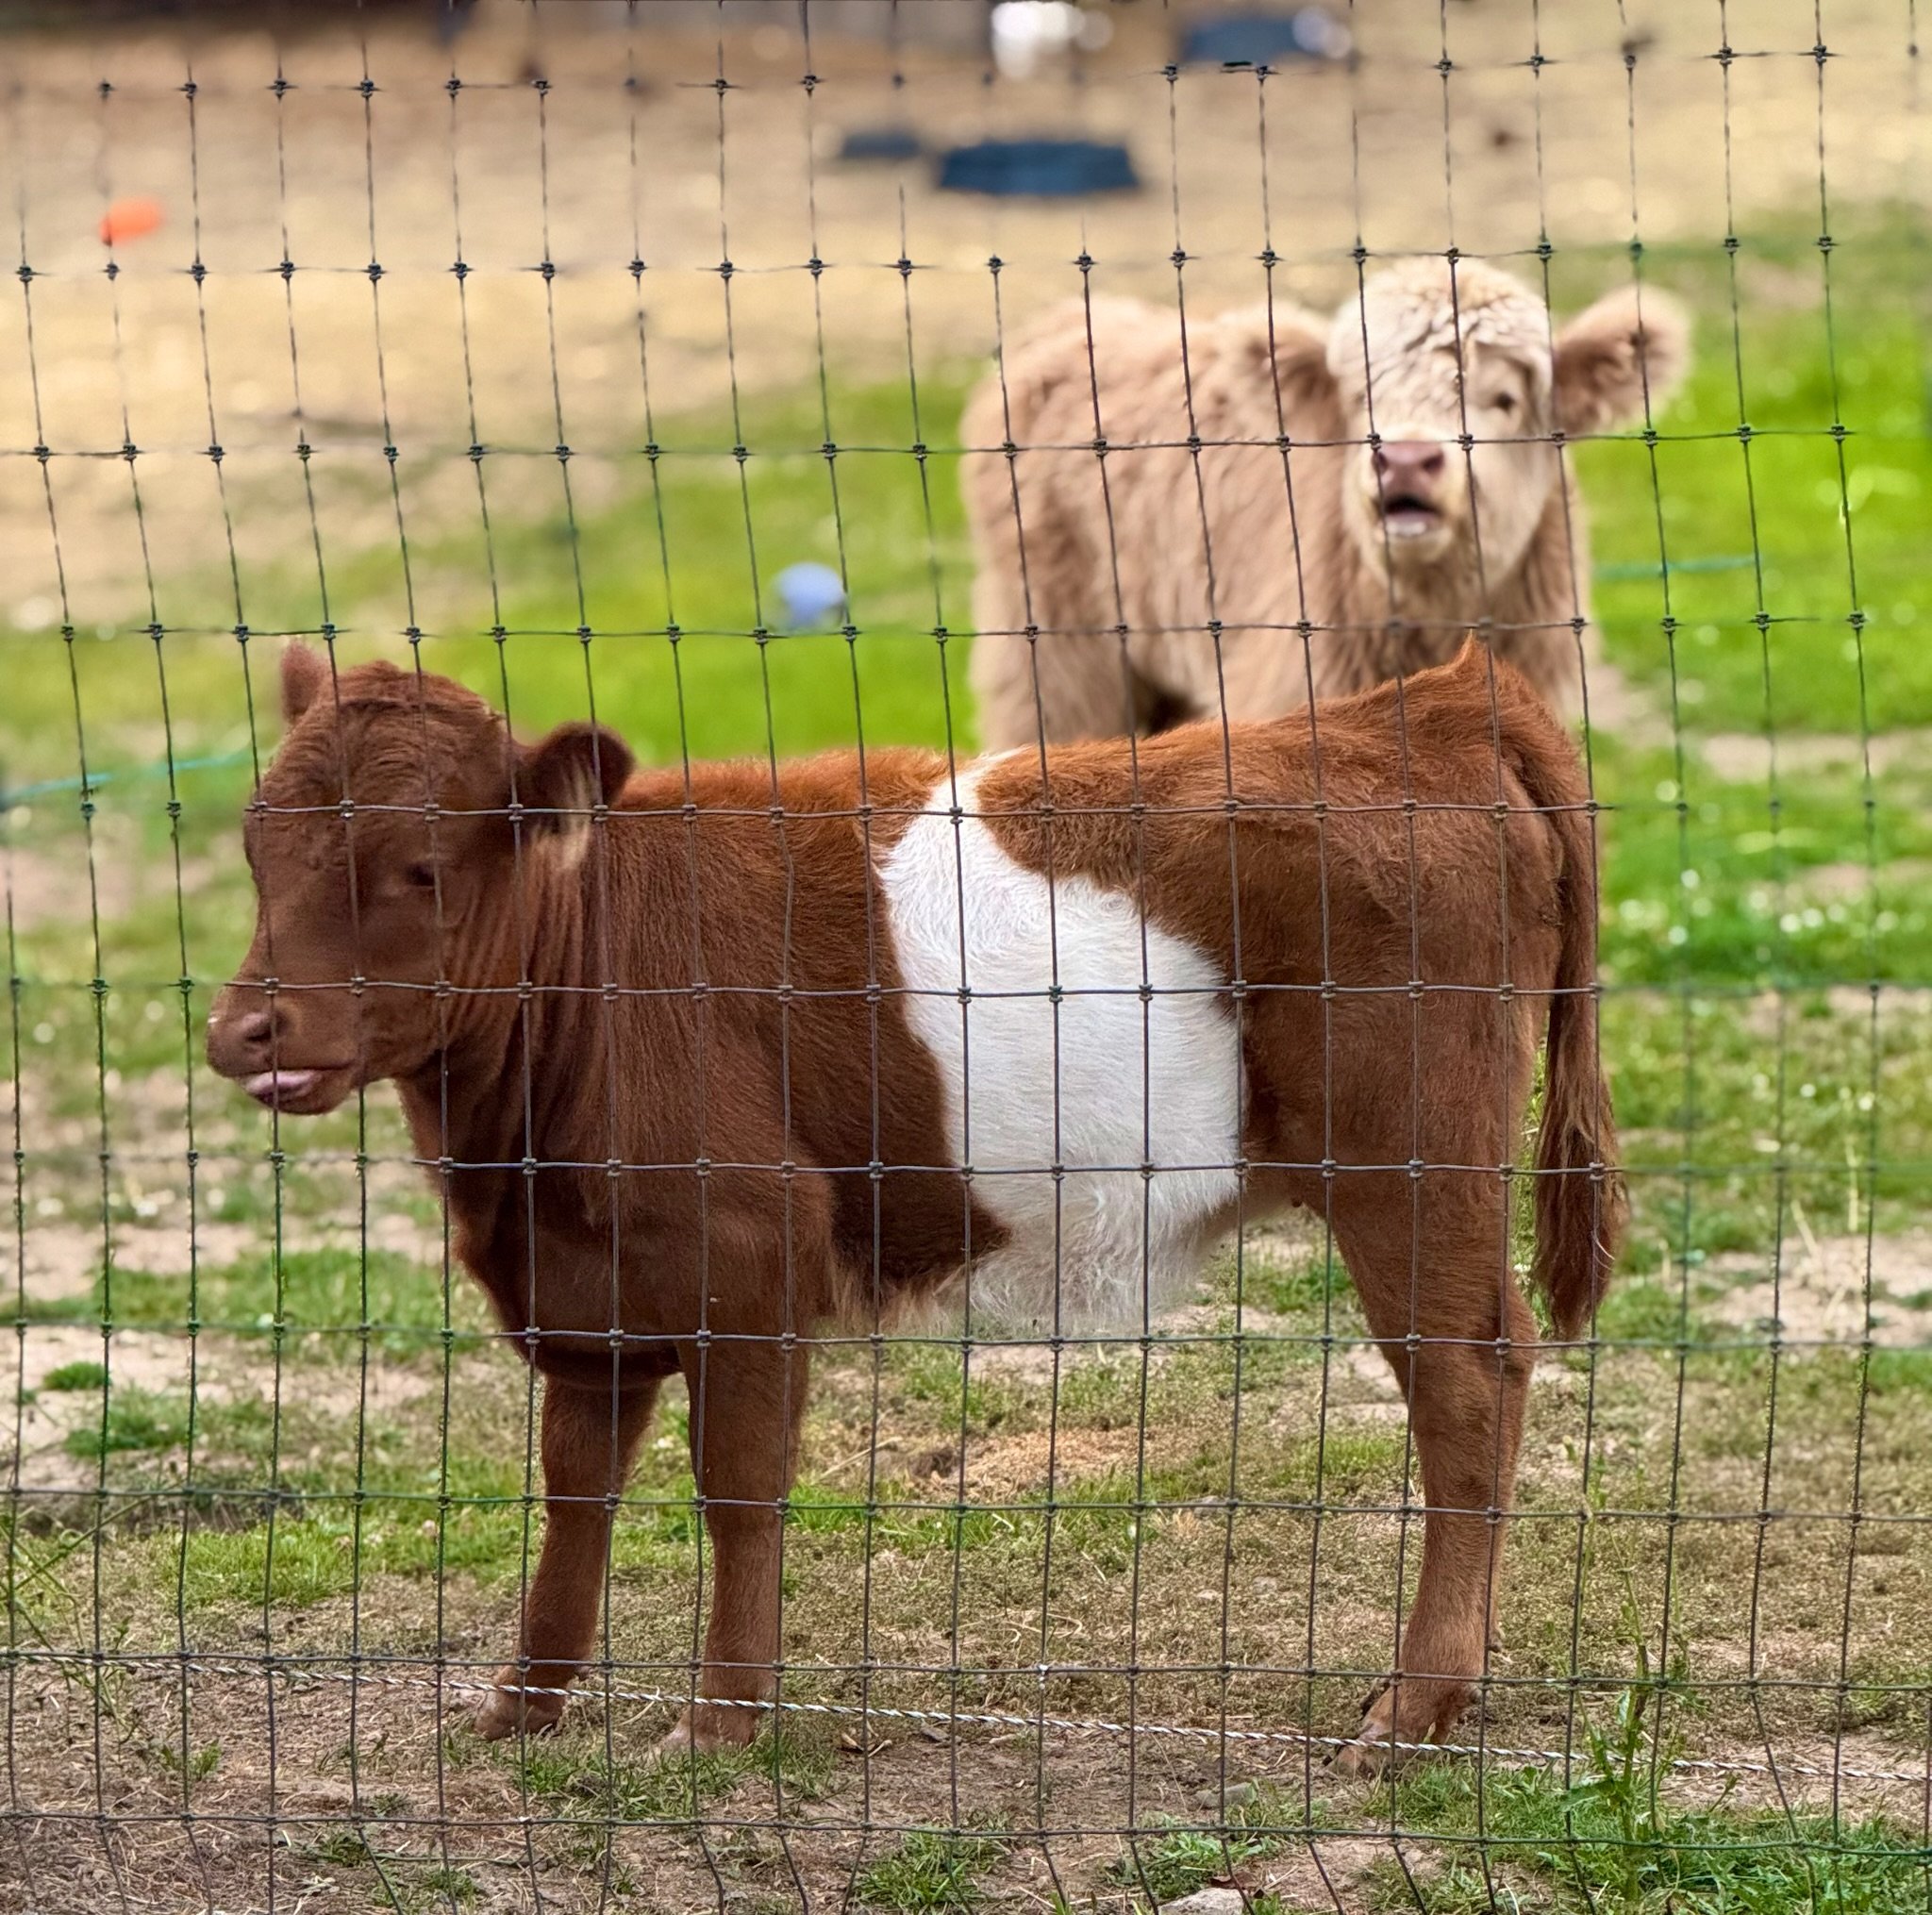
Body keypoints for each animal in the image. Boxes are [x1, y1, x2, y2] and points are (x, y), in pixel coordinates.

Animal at [206, 638, 1622, 1772]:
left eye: (421, 865)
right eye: (257, 840)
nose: (247, 1027)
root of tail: (1430, 706)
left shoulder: (749, 1254)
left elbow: (738, 1488)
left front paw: (721, 1719)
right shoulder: (591, 1297)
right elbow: (575, 1491)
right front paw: (524, 1702)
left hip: (1410, 1170)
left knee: (1467, 1384)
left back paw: (1414, 1705)